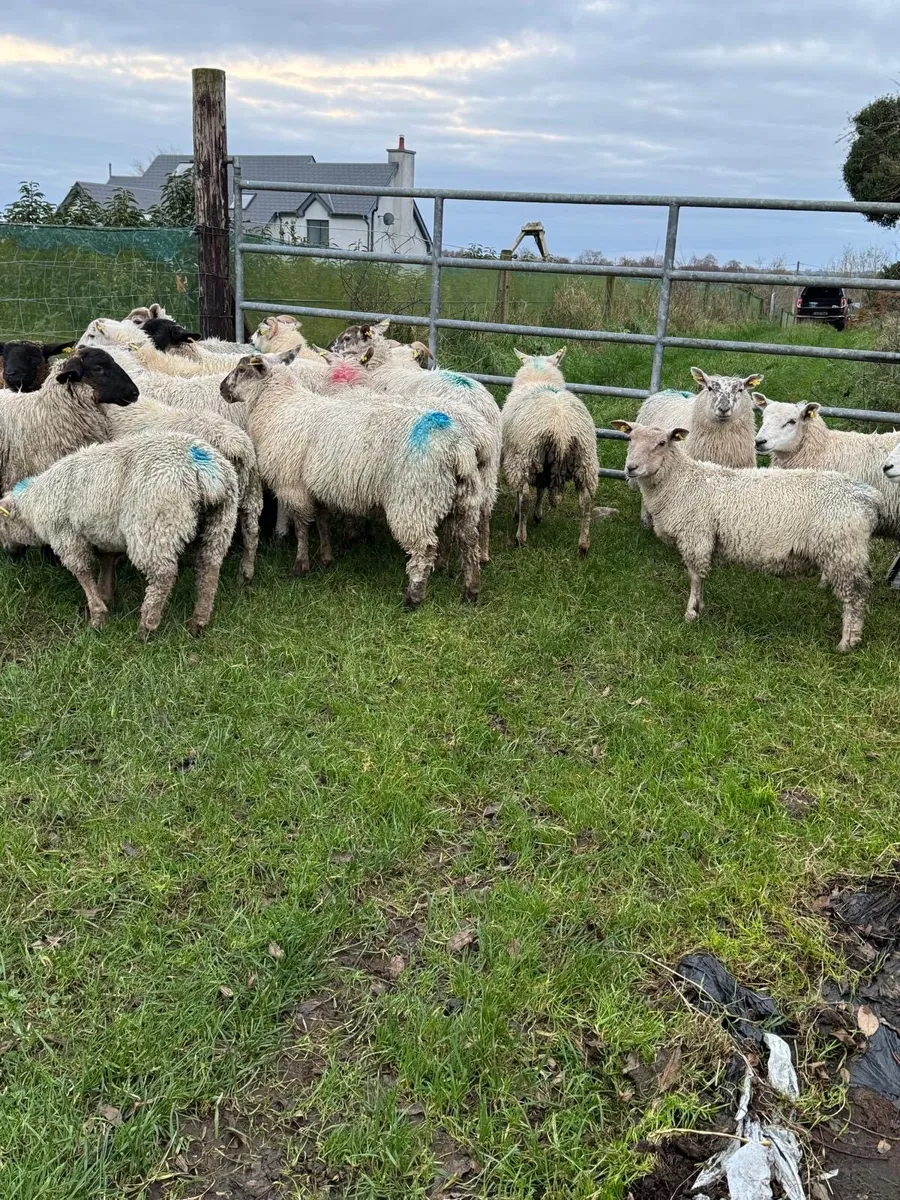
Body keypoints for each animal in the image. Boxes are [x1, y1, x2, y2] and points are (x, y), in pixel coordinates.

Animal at [0, 431, 238, 636]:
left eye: (1, 525)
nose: (9, 553)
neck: (34, 506)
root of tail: (202, 467)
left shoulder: (66, 537)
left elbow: (83, 572)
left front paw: (97, 615)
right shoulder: (104, 533)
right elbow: (107, 561)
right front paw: (106, 594)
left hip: (154, 524)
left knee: (163, 576)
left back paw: (147, 625)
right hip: (221, 522)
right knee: (209, 567)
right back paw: (199, 621)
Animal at [220, 355, 483, 607]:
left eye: (242, 370)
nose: (222, 388)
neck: (278, 405)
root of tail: (454, 446)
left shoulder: (294, 486)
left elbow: (303, 528)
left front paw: (301, 565)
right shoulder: (319, 486)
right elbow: (323, 521)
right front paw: (326, 557)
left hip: (413, 500)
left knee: (424, 549)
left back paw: (413, 597)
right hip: (466, 498)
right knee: (470, 540)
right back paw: (471, 591)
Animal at [500, 348, 605, 556]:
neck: (539, 377)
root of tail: (561, 429)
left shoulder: (517, 456)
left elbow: (523, 493)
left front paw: (521, 513)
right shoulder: (543, 466)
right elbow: (541, 489)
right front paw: (538, 515)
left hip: (525, 456)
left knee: (525, 497)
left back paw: (520, 537)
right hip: (586, 459)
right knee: (586, 502)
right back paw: (583, 545)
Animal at [612, 420, 880, 652]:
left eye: (662, 443)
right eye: (631, 438)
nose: (631, 468)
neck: (682, 483)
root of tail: (867, 497)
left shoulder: (696, 537)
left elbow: (695, 577)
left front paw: (692, 612)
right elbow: (700, 578)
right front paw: (700, 607)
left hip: (842, 550)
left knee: (856, 595)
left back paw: (848, 642)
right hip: (845, 551)